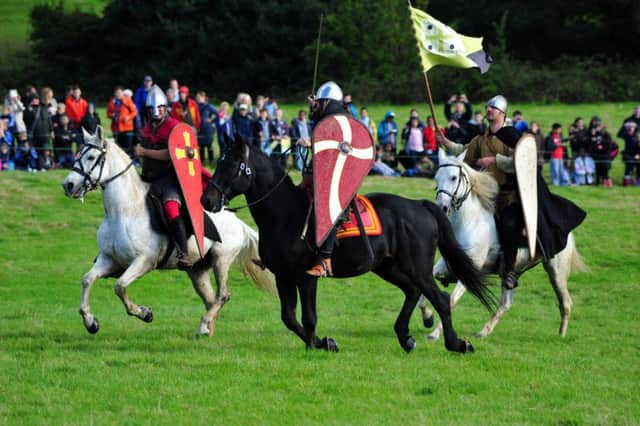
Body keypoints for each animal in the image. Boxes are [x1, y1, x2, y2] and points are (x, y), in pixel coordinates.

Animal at [62, 126, 276, 336]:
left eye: (91, 157)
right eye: (78, 154)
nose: (68, 185)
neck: (124, 212)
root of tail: (239, 223)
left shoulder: (144, 261)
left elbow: (119, 286)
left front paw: (144, 313)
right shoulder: (109, 260)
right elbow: (87, 280)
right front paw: (90, 321)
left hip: (221, 260)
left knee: (223, 295)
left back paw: (205, 325)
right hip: (197, 270)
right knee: (210, 299)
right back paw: (206, 329)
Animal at [201, 137, 496, 352]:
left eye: (234, 166)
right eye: (219, 163)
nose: (207, 200)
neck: (286, 213)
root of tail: (420, 205)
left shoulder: (306, 276)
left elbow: (308, 317)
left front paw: (320, 343)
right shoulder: (284, 275)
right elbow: (289, 317)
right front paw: (320, 342)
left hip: (418, 268)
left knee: (440, 299)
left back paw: (456, 344)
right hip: (388, 267)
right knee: (413, 292)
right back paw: (405, 337)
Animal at [418, 150, 588, 340]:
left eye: (454, 177)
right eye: (436, 177)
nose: (442, 207)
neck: (469, 222)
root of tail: (569, 233)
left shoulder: (470, 270)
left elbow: (451, 300)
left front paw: (434, 334)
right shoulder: (445, 264)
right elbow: (424, 291)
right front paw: (428, 318)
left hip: (556, 271)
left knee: (565, 302)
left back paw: (561, 335)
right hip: (511, 271)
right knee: (506, 303)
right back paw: (484, 331)